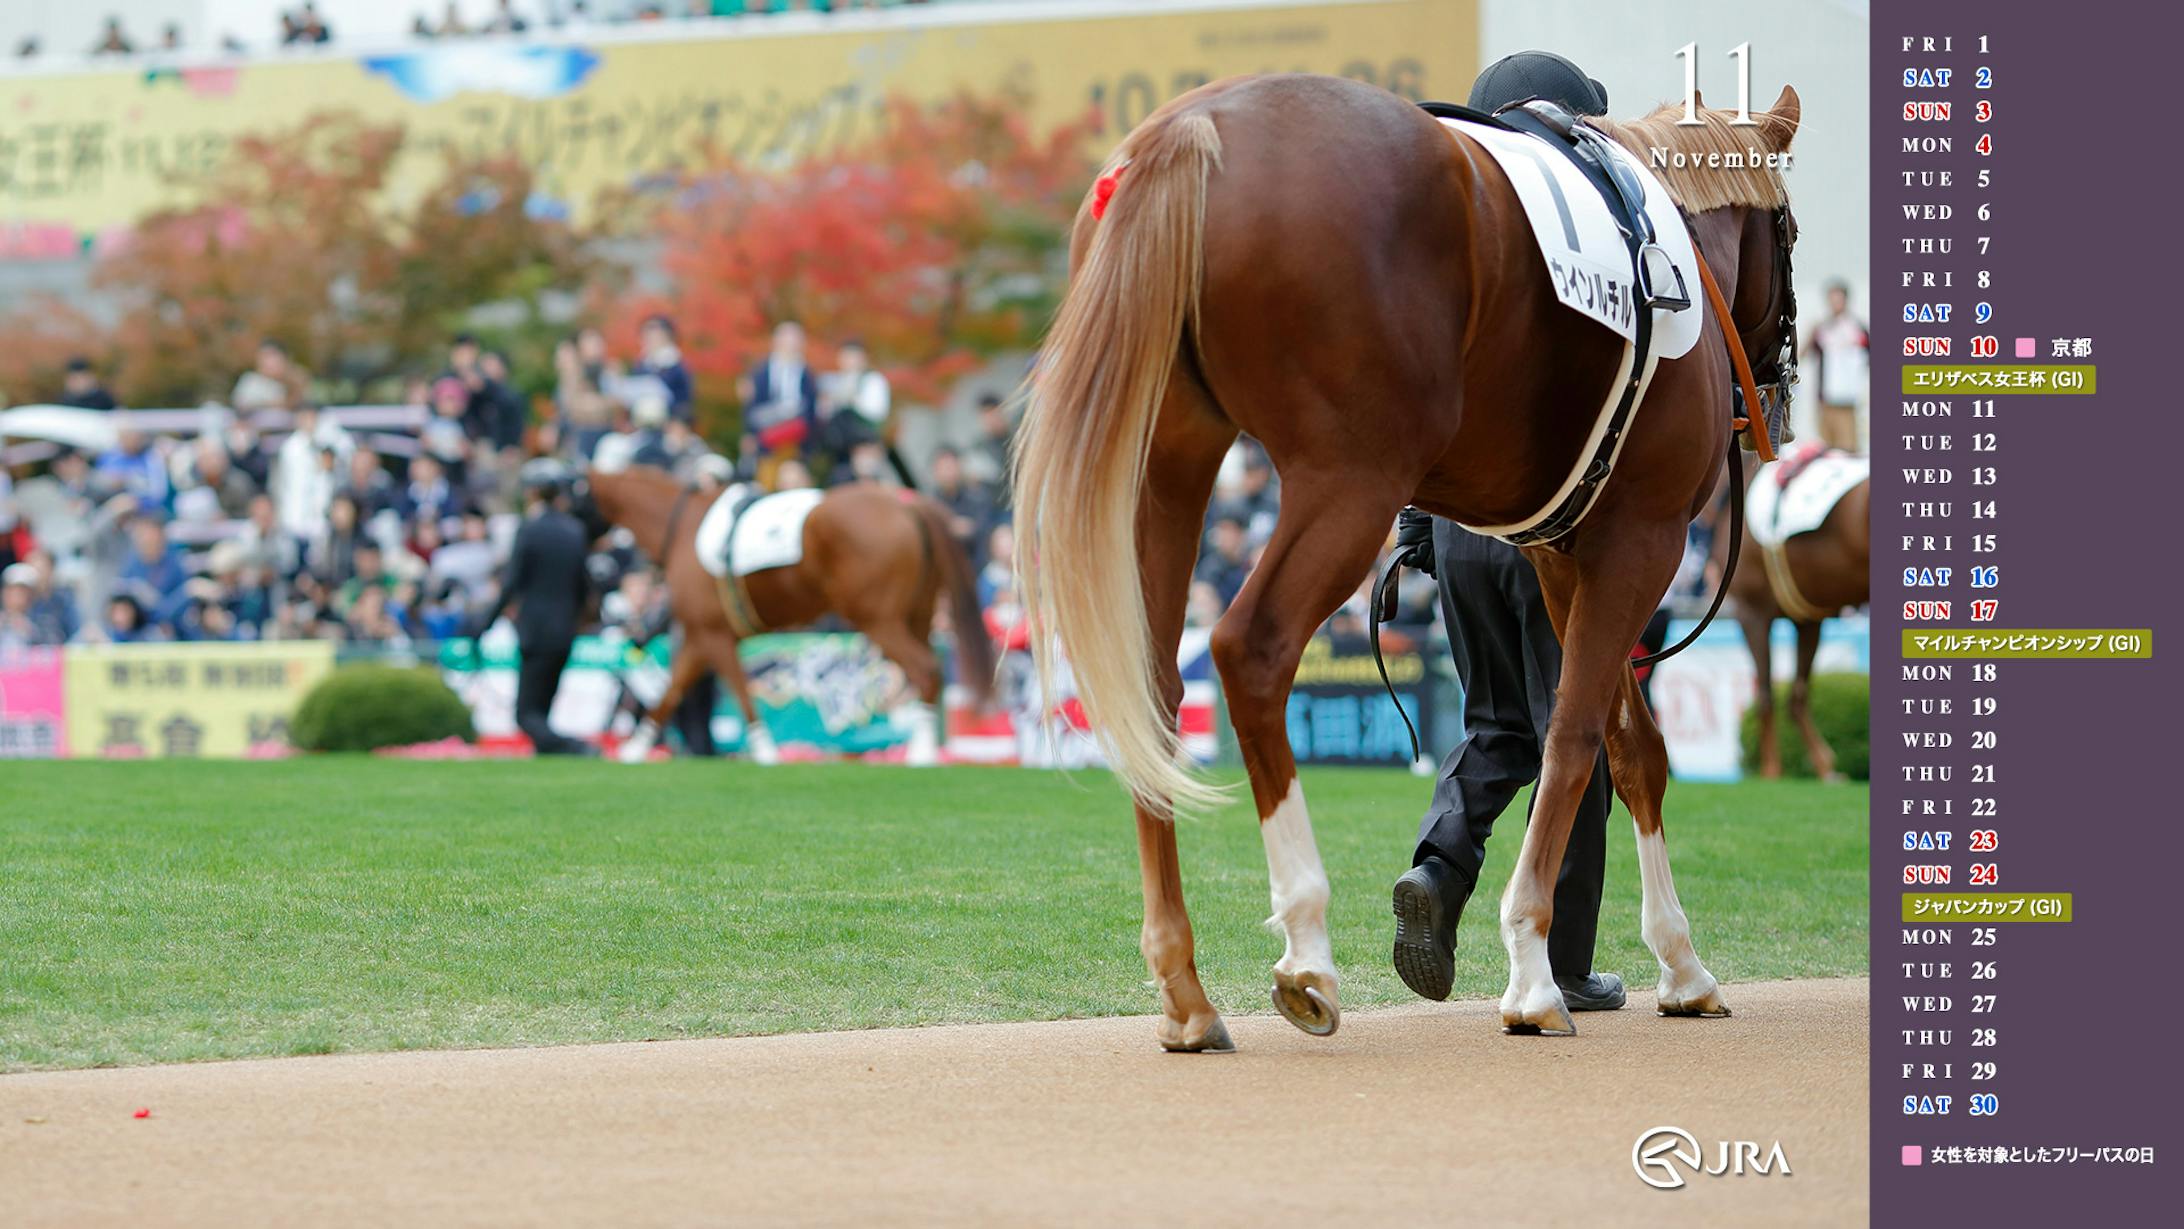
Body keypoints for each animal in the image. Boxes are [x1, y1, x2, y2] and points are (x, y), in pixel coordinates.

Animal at [576, 467, 995, 764]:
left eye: (564, 495)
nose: (594, 574)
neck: (683, 528)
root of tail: (906, 503)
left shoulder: (712, 635)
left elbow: (739, 692)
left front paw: (764, 751)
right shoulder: (699, 637)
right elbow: (671, 693)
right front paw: (634, 749)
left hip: (879, 621)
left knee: (925, 669)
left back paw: (920, 754)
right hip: (918, 615)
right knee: (925, 674)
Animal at [1013, 74, 1799, 1047]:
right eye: (1790, 229)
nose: (1777, 387)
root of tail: (1191, 127)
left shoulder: (1563, 551)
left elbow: (1631, 748)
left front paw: (1682, 967)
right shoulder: (1641, 538)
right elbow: (1576, 734)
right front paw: (1534, 969)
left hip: (1168, 469)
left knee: (1157, 687)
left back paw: (1186, 992)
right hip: (1351, 479)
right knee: (1252, 648)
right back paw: (1306, 949)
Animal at [1729, 451, 1869, 777]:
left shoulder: (1750, 612)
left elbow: (1766, 693)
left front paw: (1771, 770)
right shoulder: (1808, 618)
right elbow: (1797, 695)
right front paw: (1824, 765)